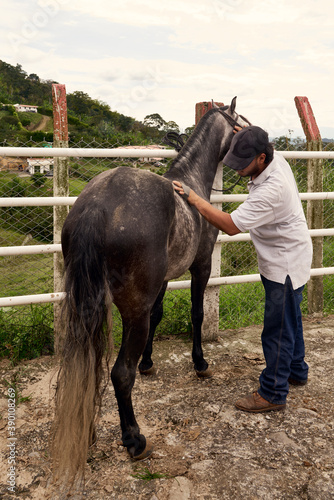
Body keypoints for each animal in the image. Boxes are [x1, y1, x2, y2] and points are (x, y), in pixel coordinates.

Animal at [51, 95, 250, 486]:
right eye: (243, 124)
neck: (190, 184)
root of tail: (97, 204)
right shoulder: (201, 267)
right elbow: (197, 314)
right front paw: (200, 362)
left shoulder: (163, 280)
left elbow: (158, 316)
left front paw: (149, 361)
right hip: (132, 309)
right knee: (118, 374)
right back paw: (134, 438)